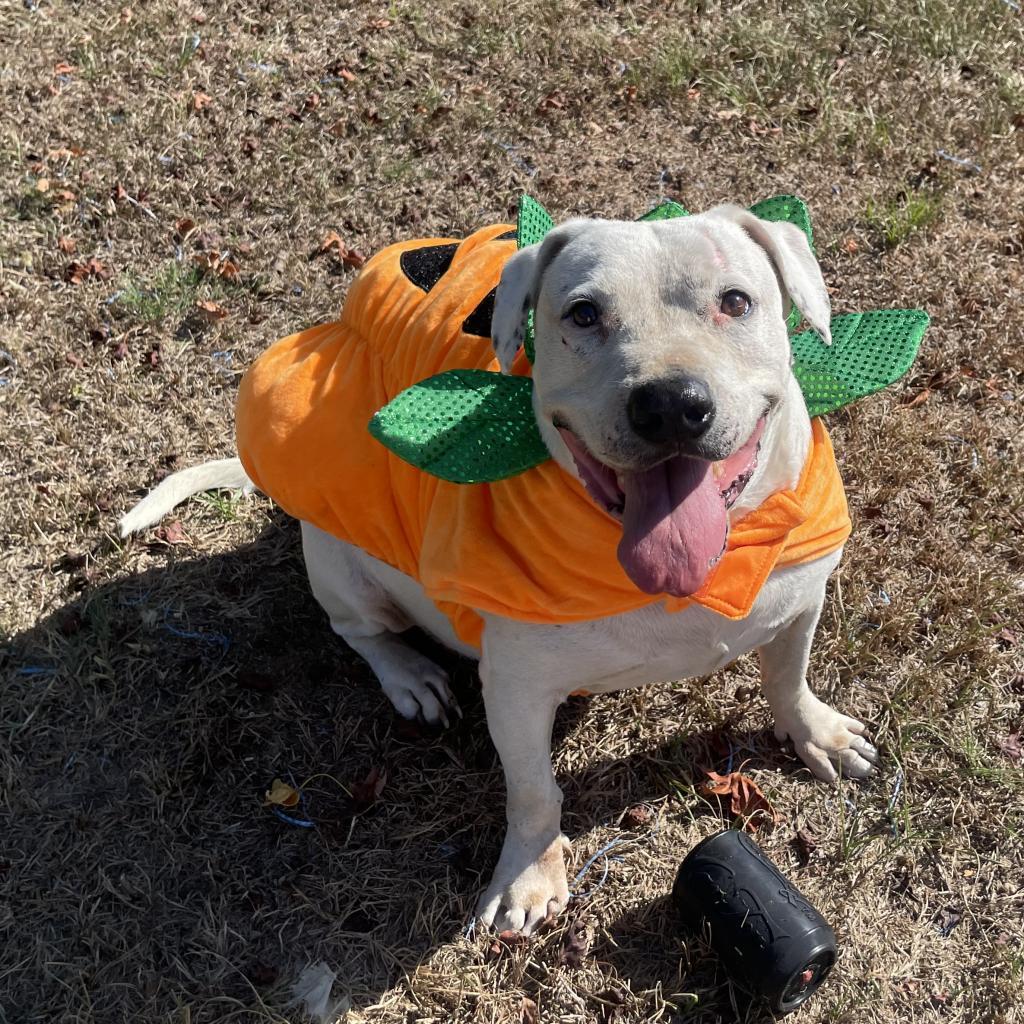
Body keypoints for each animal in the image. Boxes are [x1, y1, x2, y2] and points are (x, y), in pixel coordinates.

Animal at [117, 205, 872, 937]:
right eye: (583, 314)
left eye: (735, 302)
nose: (669, 404)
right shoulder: (515, 687)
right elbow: (534, 789)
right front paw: (530, 877)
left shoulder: (801, 603)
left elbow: (787, 676)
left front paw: (816, 733)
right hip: (341, 566)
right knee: (358, 631)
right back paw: (411, 676)